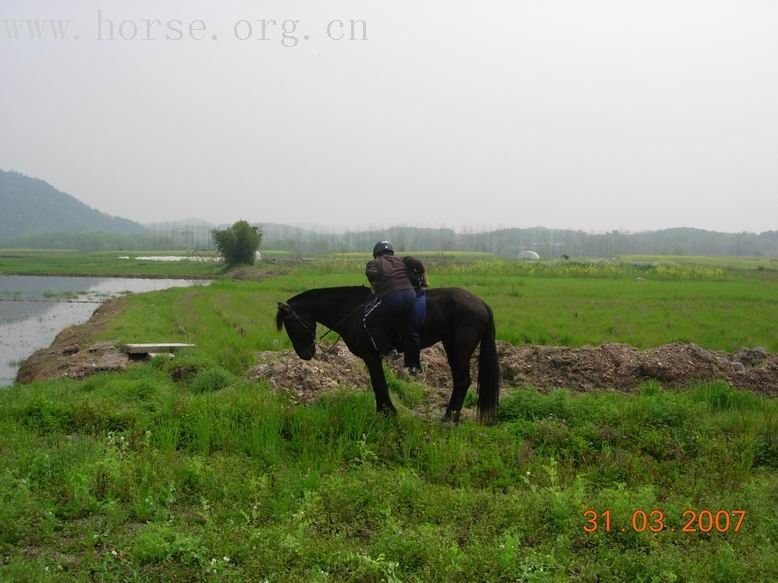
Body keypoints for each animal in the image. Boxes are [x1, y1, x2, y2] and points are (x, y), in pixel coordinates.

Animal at [272, 286, 498, 420]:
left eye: (290, 324)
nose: (305, 354)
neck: (354, 311)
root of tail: (480, 303)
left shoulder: (371, 356)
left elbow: (378, 384)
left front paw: (387, 412)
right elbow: (378, 384)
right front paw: (385, 411)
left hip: (457, 350)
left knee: (462, 382)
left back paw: (449, 419)